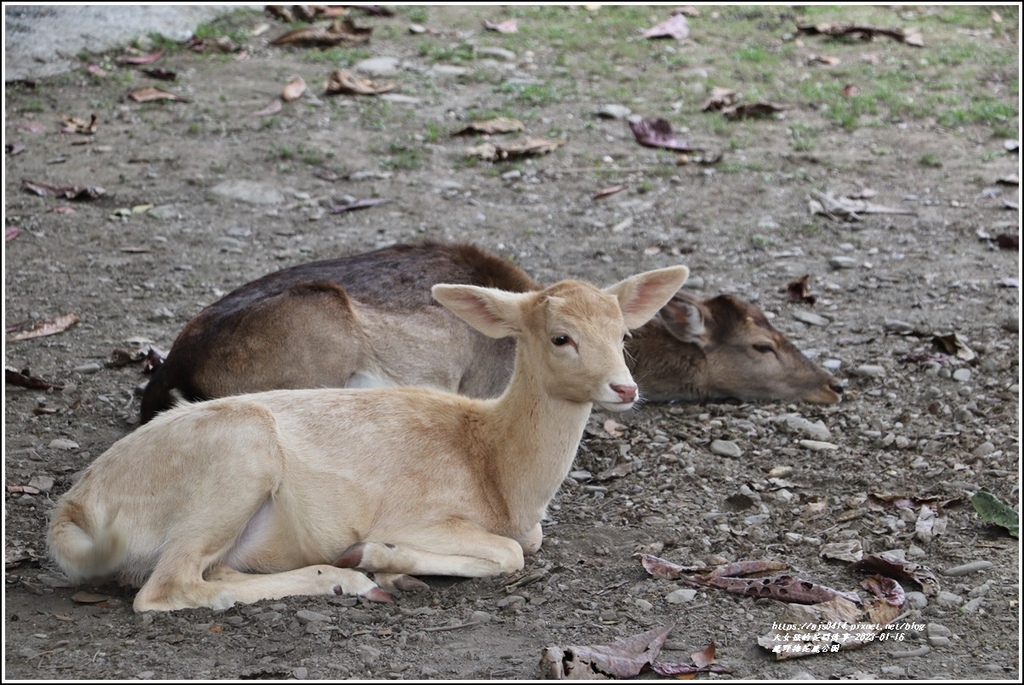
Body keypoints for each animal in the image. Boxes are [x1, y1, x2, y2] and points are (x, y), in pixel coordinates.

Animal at [46, 264, 688, 610]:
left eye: (622, 334)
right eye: (561, 337)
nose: (625, 388)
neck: (497, 470)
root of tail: (73, 511)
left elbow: (528, 543)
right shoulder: (422, 512)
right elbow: (510, 552)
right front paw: (379, 555)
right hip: (237, 455)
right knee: (165, 587)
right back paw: (345, 577)